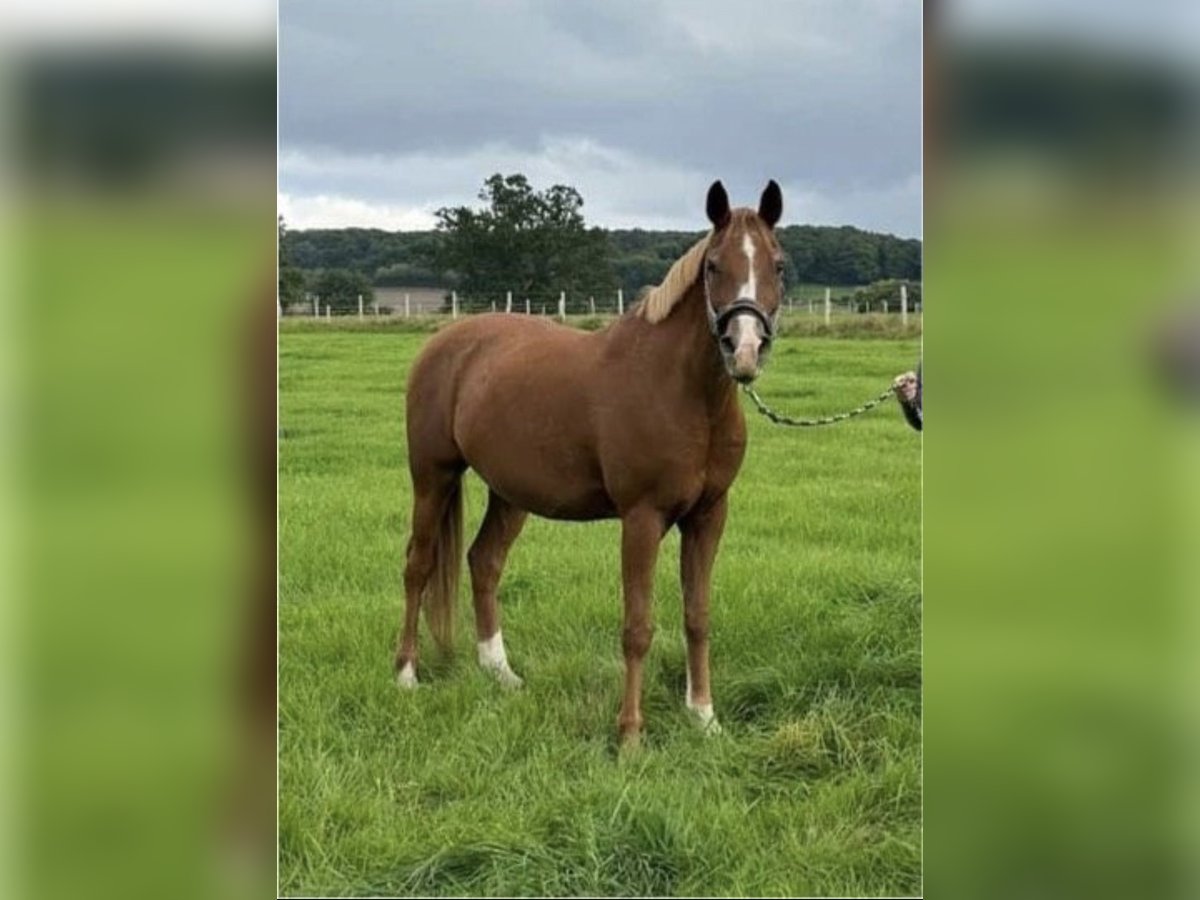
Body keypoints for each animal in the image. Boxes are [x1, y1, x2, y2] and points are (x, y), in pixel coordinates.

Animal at [394, 180, 786, 745]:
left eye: (779, 264)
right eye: (713, 266)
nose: (745, 349)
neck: (684, 393)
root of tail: (443, 345)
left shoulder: (709, 516)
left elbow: (697, 616)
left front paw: (704, 718)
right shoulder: (642, 519)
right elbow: (638, 627)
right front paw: (630, 735)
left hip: (510, 494)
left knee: (484, 562)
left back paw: (501, 674)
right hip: (433, 476)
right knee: (418, 565)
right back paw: (406, 674)